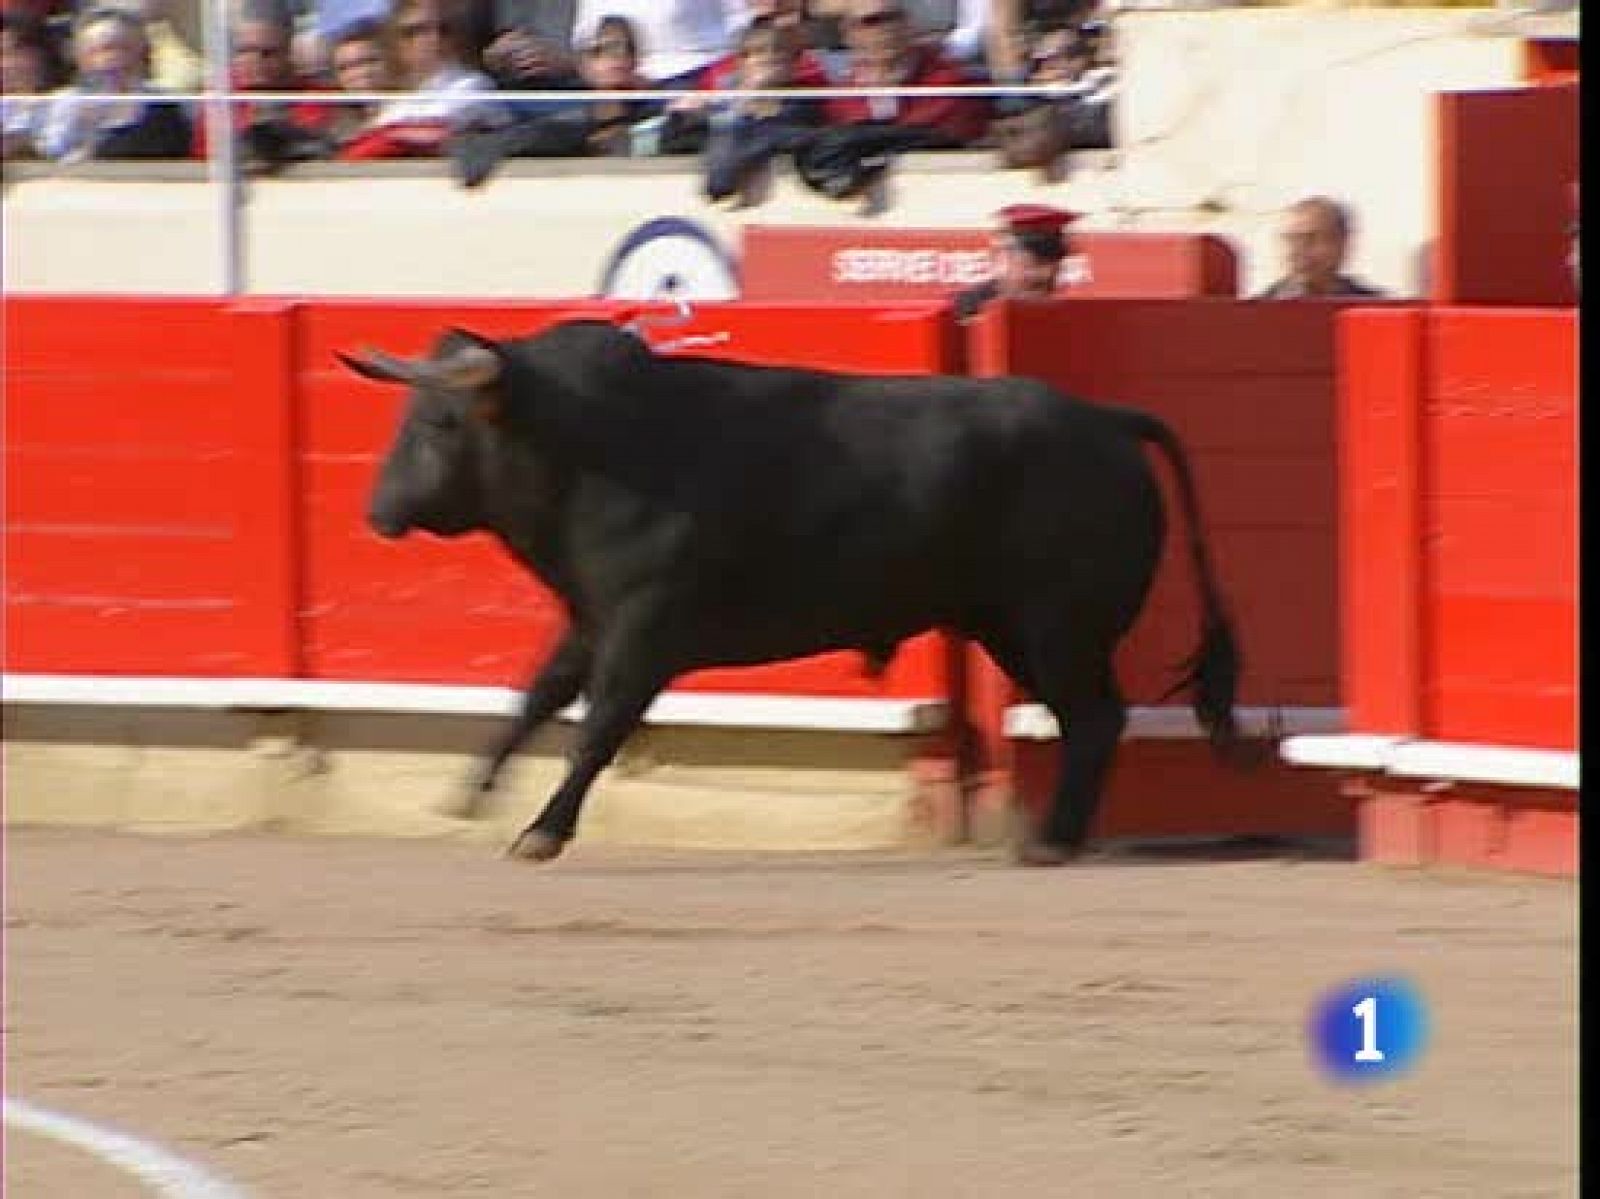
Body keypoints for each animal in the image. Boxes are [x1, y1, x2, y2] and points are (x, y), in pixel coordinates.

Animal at [337, 318, 1241, 858]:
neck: (590, 441)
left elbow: (598, 726)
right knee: (1091, 719)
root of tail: (1106, 420)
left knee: (1095, 718)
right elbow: (535, 698)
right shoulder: (591, 617)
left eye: (440, 422)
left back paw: (1053, 840)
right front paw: (467, 796)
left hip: (1057, 625)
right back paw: (1058, 837)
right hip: (1012, 627)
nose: (378, 512)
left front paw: (542, 831)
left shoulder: (645, 630)